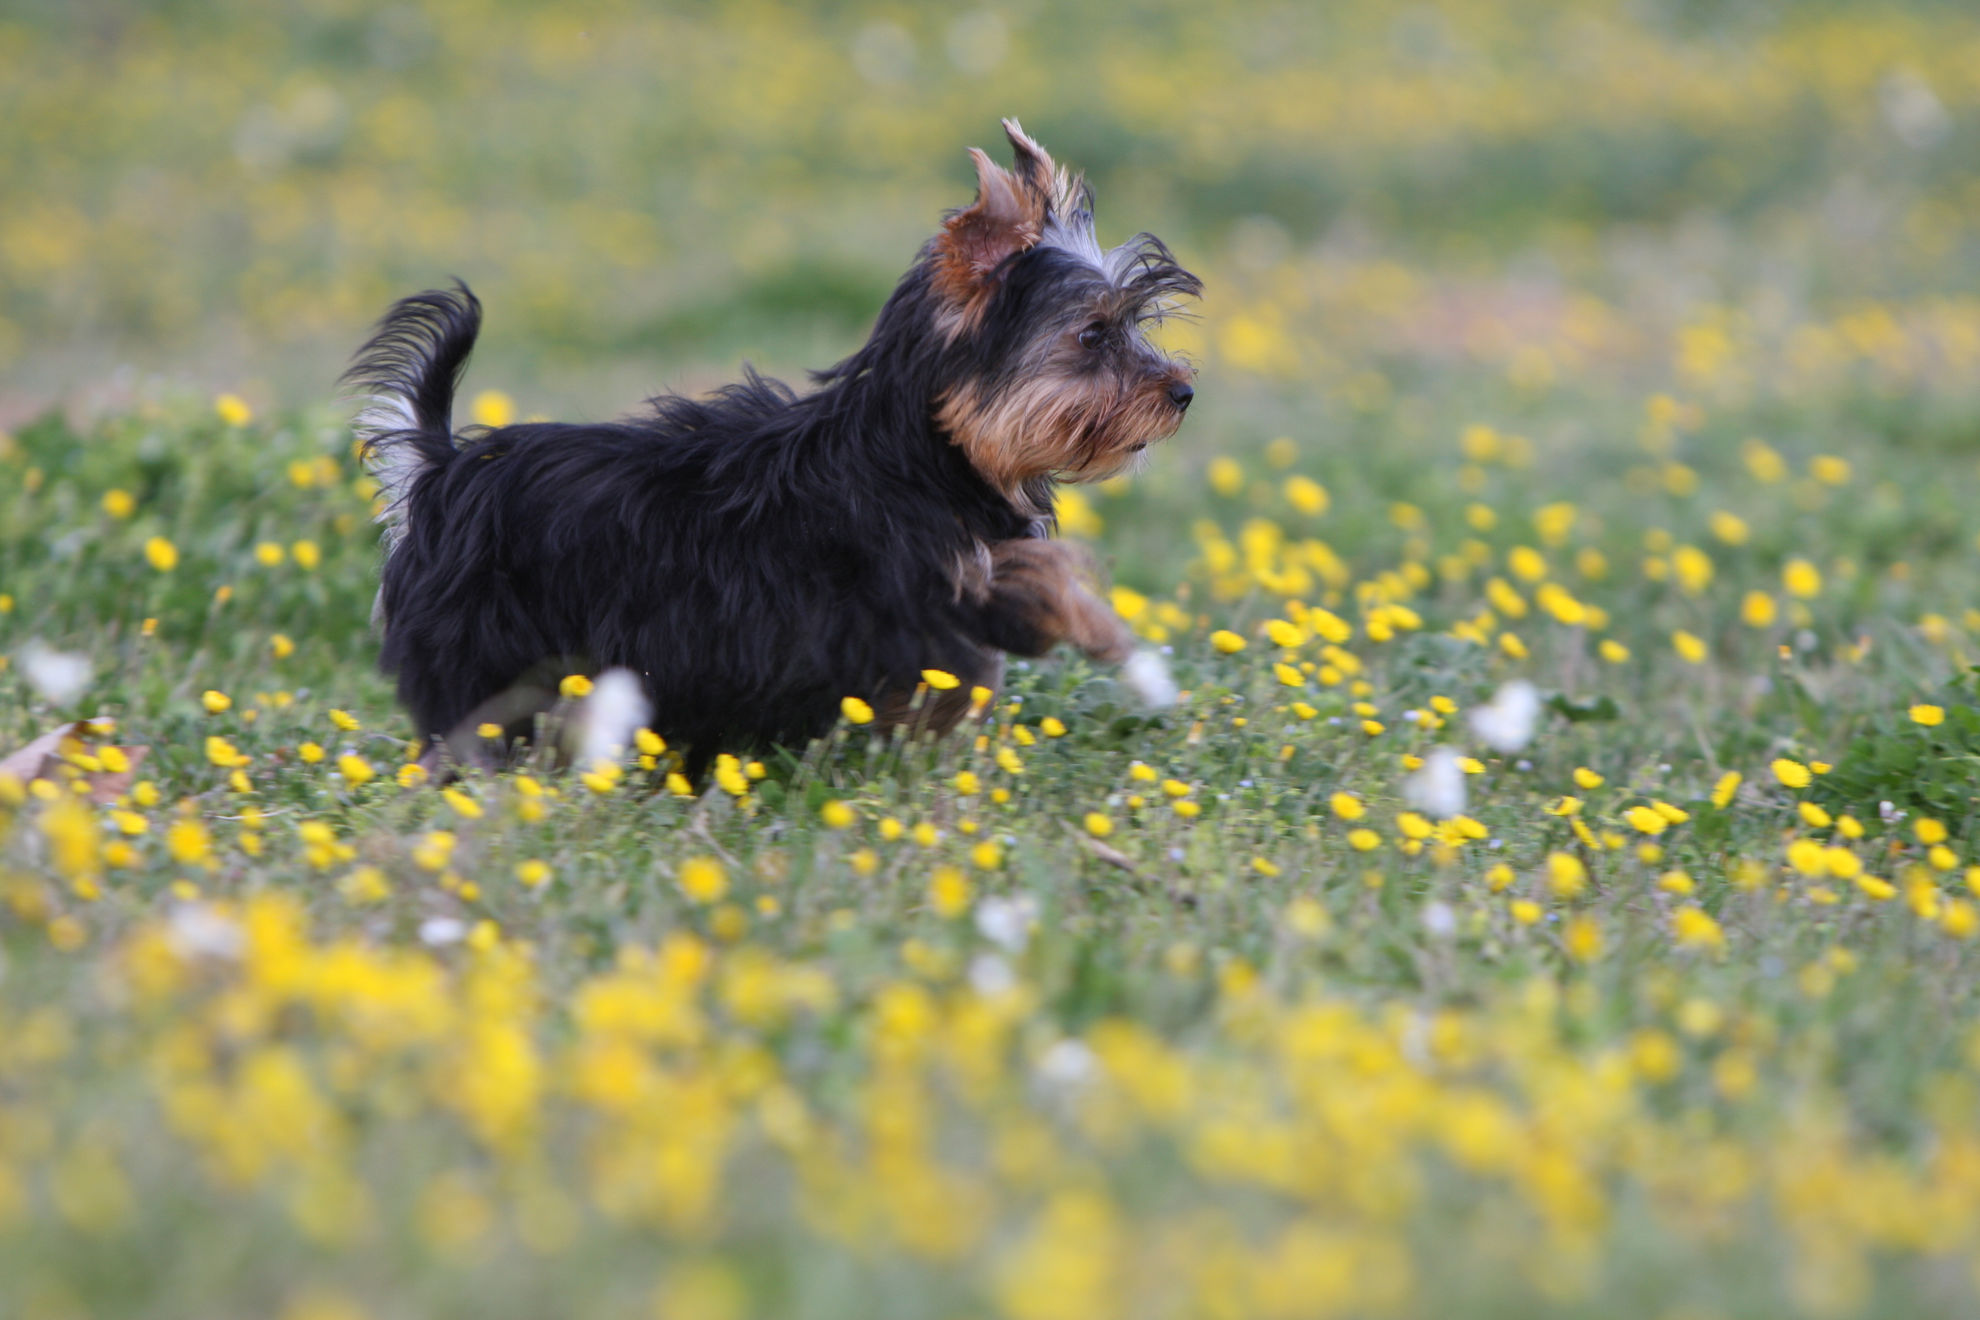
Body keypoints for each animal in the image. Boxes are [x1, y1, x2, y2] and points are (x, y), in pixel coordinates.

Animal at [342, 118, 1195, 779]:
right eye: (1093, 335)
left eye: (1134, 326)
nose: (1182, 392)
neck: (924, 452)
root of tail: (441, 473)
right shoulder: (905, 591)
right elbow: (1030, 587)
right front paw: (1115, 642)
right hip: (482, 643)